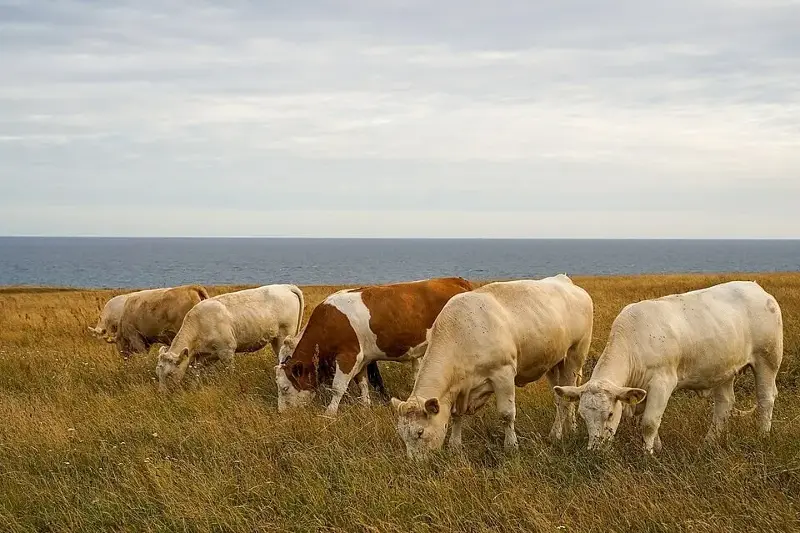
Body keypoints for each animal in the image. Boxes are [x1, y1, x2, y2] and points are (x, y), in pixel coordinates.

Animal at [156, 285, 305, 392]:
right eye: (158, 374)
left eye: (169, 374)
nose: (161, 393)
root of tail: (286, 286)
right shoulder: (203, 357)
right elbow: (196, 374)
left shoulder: (226, 351)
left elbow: (230, 371)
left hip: (285, 334)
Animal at [275, 277, 474, 415]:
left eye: (284, 388)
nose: (281, 413)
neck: (327, 323)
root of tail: (455, 280)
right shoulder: (363, 358)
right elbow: (363, 383)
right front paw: (365, 407)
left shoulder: (348, 355)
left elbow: (338, 386)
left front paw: (329, 413)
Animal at [391, 275, 594, 460]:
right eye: (401, 434)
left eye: (420, 432)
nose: (416, 463)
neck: (460, 336)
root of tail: (566, 281)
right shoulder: (461, 389)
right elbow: (457, 416)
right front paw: (455, 445)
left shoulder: (503, 374)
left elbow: (506, 414)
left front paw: (511, 446)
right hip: (554, 362)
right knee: (562, 395)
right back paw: (571, 428)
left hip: (575, 355)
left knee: (564, 401)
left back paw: (556, 434)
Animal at [553, 280, 783, 455]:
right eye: (583, 415)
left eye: (610, 414)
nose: (595, 450)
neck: (635, 341)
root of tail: (756, 288)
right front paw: (657, 448)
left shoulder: (662, 382)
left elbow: (649, 422)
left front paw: (647, 454)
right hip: (724, 368)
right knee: (724, 404)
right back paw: (709, 442)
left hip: (768, 359)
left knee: (765, 398)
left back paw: (763, 435)